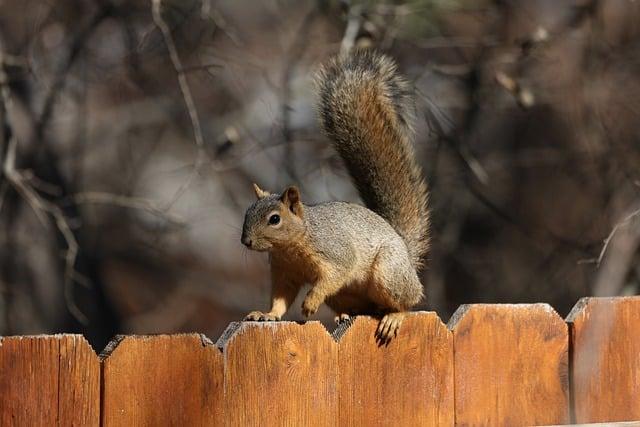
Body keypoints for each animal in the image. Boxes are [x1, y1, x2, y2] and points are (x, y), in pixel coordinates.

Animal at [240, 48, 430, 342]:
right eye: (247, 213)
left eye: (274, 219)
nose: (246, 241)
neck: (292, 246)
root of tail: (407, 256)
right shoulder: (285, 273)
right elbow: (281, 298)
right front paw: (267, 314)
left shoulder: (335, 253)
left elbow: (333, 275)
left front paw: (309, 303)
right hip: (344, 295)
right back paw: (345, 315)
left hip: (388, 273)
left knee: (407, 302)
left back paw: (393, 317)